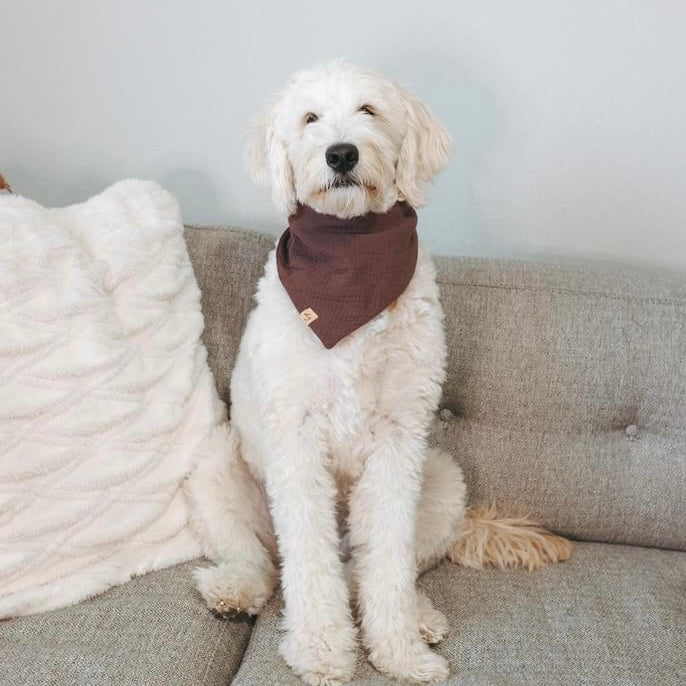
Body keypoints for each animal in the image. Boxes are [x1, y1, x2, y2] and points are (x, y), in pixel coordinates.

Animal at [187, 61, 568, 684]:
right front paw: (321, 650)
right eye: (309, 118)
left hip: (442, 477)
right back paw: (235, 590)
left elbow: (387, 559)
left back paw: (419, 615)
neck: (349, 260)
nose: (341, 153)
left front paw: (399, 652)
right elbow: (308, 561)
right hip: (217, 465)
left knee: (377, 569)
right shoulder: (296, 439)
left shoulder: (398, 439)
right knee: (264, 561)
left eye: (368, 110)